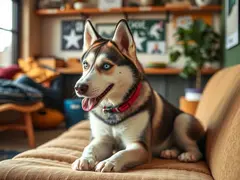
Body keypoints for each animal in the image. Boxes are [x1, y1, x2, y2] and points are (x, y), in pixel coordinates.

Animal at [71, 19, 204, 172]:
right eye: (85, 64)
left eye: (106, 66)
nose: (79, 87)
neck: (114, 109)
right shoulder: (102, 140)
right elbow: (89, 148)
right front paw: (84, 159)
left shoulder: (140, 145)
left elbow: (122, 153)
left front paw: (109, 162)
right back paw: (170, 151)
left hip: (182, 120)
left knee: (197, 150)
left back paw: (188, 155)